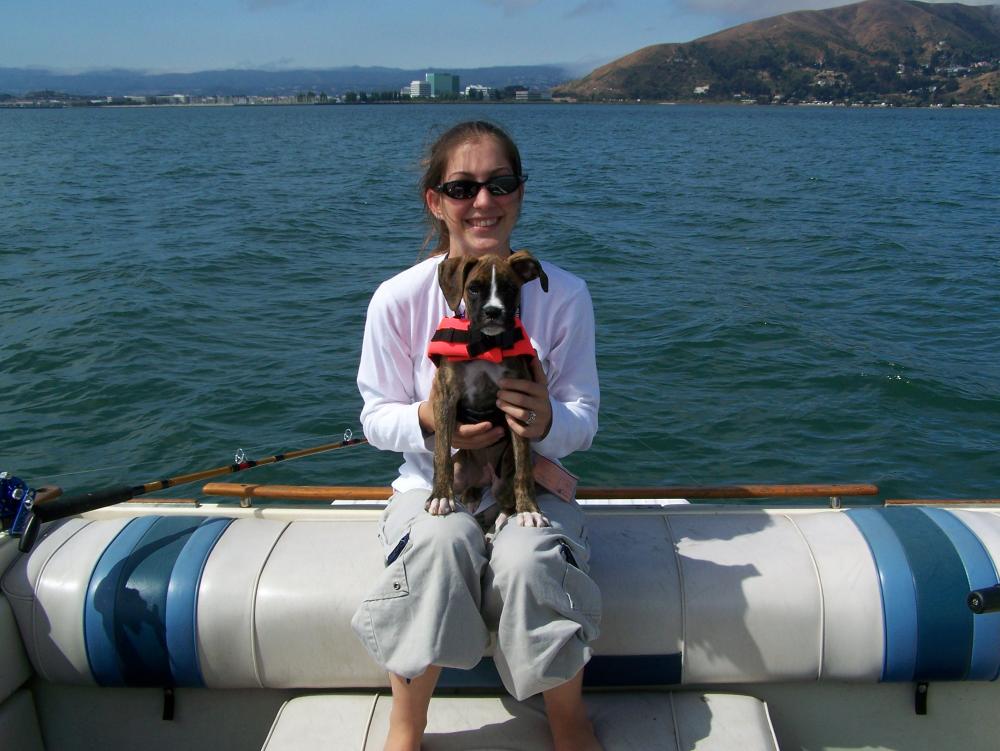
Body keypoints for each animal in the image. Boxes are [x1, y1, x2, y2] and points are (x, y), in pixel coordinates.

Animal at [424, 253, 548, 528]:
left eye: (510, 288)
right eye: (473, 288)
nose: (493, 311)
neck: (485, 345)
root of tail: (484, 477)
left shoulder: (518, 403)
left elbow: (524, 468)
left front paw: (529, 510)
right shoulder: (445, 397)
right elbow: (441, 453)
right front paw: (440, 496)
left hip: (502, 479)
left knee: (505, 497)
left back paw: (502, 516)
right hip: (462, 470)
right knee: (464, 482)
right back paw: (468, 497)